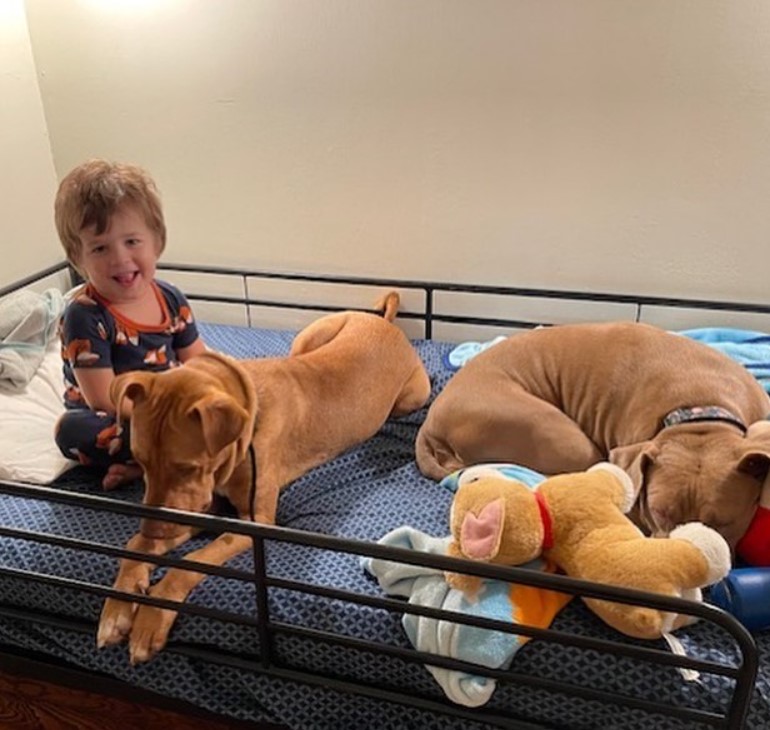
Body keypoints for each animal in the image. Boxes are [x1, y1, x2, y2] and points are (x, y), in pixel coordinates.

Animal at [96, 292, 428, 664]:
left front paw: (151, 617)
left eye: (187, 468)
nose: (153, 528)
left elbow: (191, 561)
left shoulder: (252, 522)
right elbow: (135, 544)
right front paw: (118, 609)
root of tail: (386, 323)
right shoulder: (201, 509)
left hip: (411, 397)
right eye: (142, 459)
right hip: (308, 340)